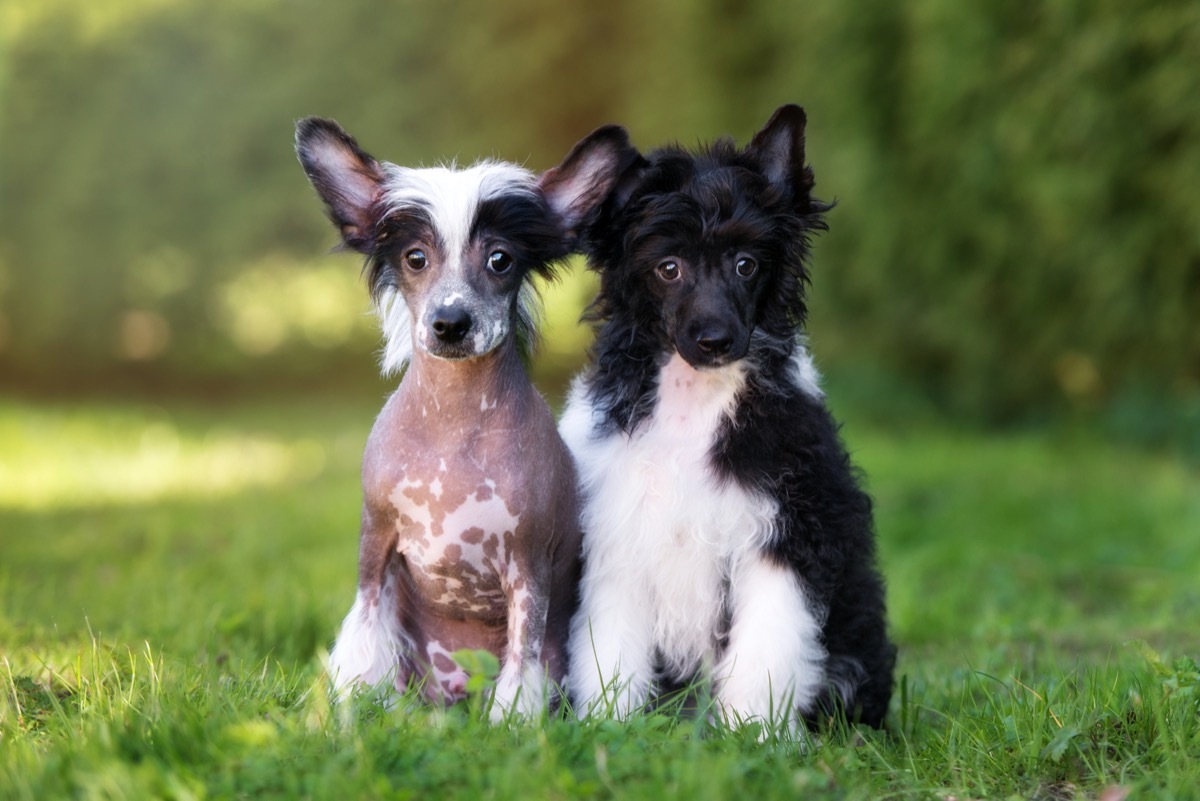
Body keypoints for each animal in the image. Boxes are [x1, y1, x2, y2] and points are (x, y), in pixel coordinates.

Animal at [549, 106, 897, 733]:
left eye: (745, 264)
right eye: (668, 268)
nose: (715, 340)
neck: (696, 406)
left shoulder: (785, 539)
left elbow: (766, 653)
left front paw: (755, 737)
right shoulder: (618, 542)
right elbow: (609, 653)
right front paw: (609, 728)